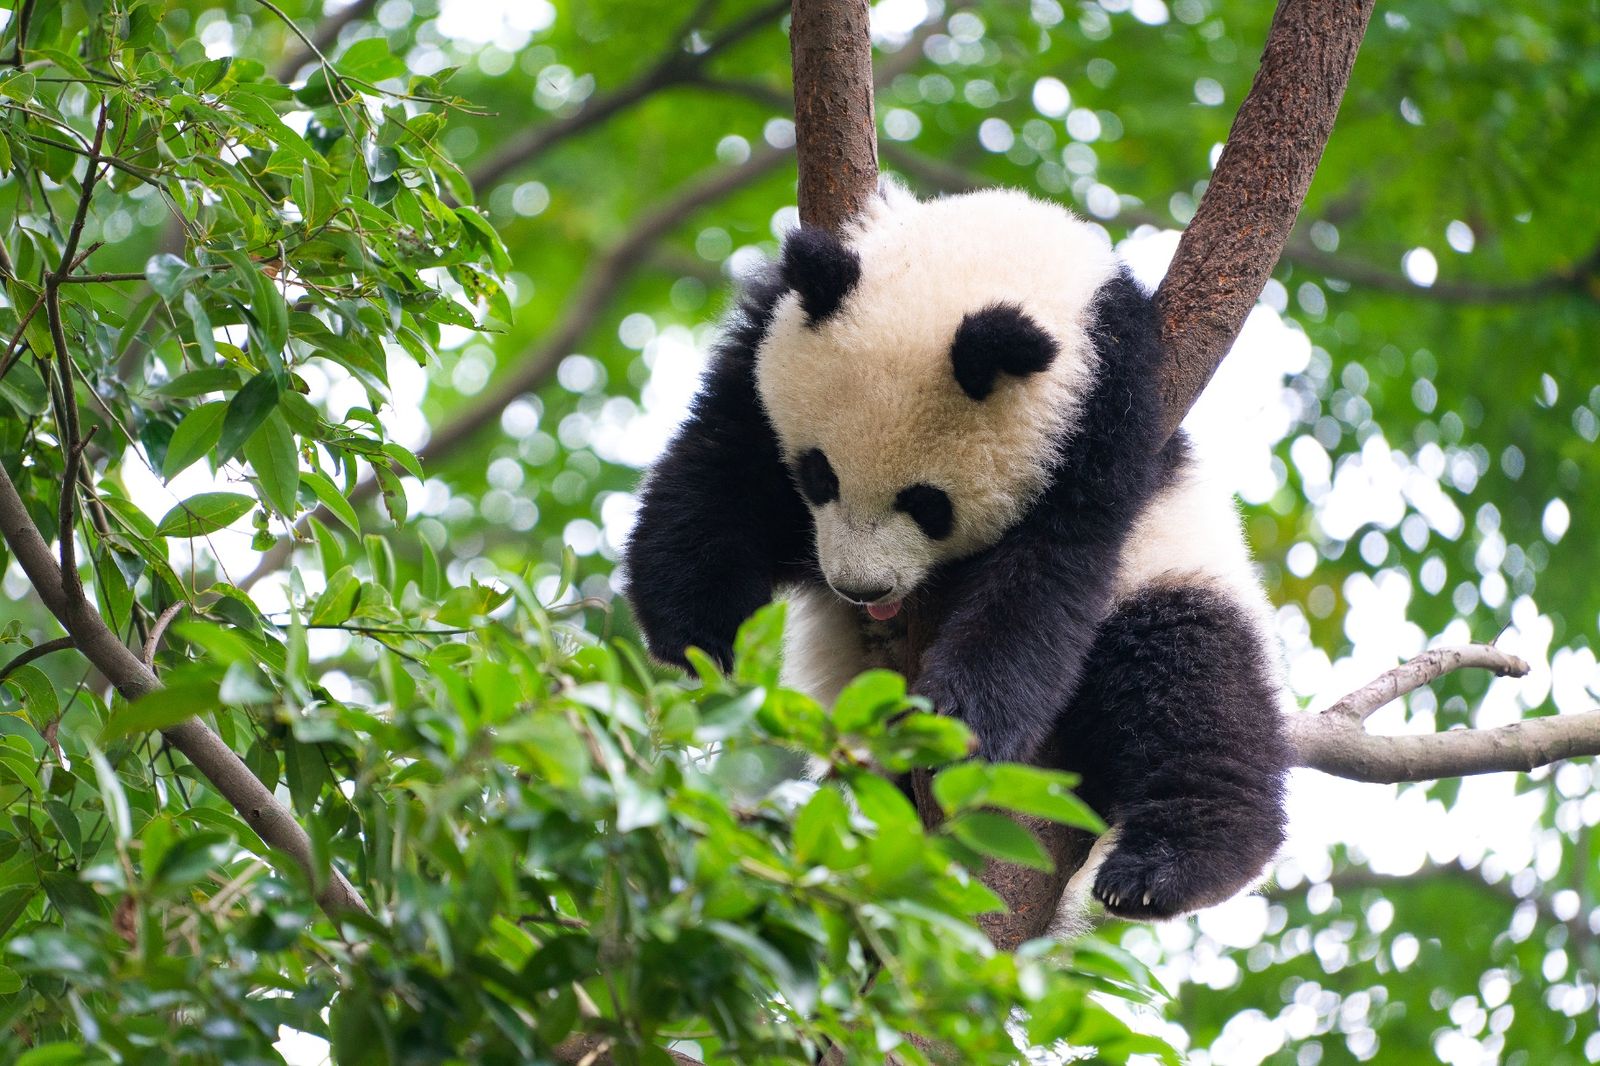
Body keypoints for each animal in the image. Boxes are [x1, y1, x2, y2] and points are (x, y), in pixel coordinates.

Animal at [623, 184, 1291, 921]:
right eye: (819, 475)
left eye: (927, 504)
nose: (861, 589)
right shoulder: (762, 345)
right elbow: (721, 471)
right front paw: (700, 633)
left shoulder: (1110, 421)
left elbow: (1046, 580)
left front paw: (953, 721)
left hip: (1177, 570)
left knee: (1191, 683)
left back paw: (1165, 868)